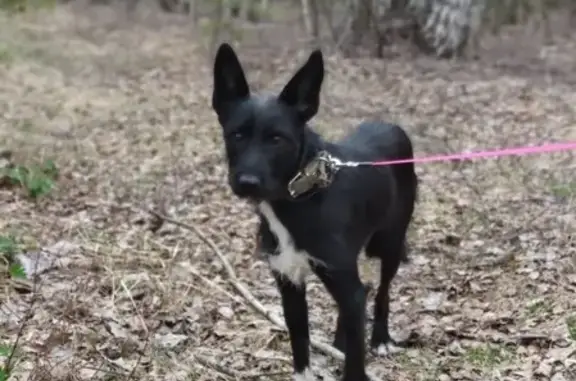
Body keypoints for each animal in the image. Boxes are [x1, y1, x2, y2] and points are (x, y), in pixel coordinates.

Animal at [212, 43, 418, 380]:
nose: (247, 183)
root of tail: (393, 126)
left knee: (382, 291)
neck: (299, 196)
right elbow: (300, 344)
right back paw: (340, 342)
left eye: (277, 139)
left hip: (389, 243)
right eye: (236, 135)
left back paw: (380, 339)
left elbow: (355, 362)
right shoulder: (289, 283)